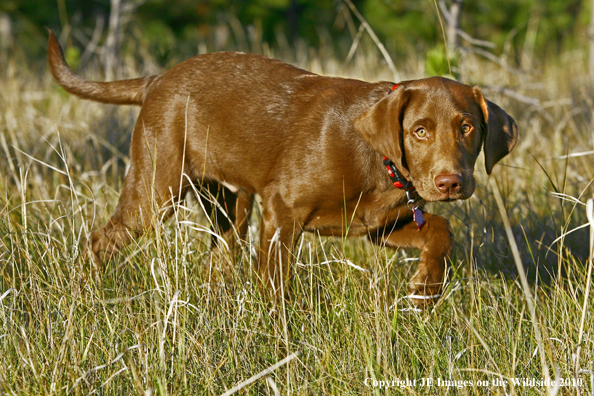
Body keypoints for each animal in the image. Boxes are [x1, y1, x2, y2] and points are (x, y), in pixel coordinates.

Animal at [48, 31, 516, 306]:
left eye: (467, 127)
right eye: (419, 131)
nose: (451, 182)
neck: (381, 166)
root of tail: (156, 80)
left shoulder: (378, 224)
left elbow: (441, 230)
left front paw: (426, 287)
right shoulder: (281, 211)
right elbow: (275, 284)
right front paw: (280, 338)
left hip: (229, 205)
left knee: (218, 259)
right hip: (156, 190)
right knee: (100, 239)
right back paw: (85, 292)